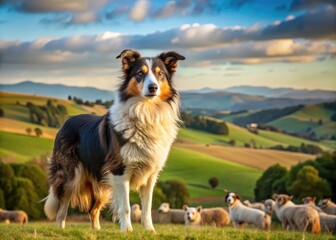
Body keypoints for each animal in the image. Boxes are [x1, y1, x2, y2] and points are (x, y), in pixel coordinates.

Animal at [43, 49, 185, 232]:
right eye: (140, 73)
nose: (153, 87)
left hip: (101, 181)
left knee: (93, 209)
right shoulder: (119, 171)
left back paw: (96, 230)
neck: (146, 112)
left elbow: (147, 208)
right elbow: (125, 207)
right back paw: (60, 228)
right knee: (62, 206)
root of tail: (66, 122)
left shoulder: (150, 174)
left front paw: (150, 230)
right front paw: (127, 230)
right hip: (71, 174)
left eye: (160, 74)